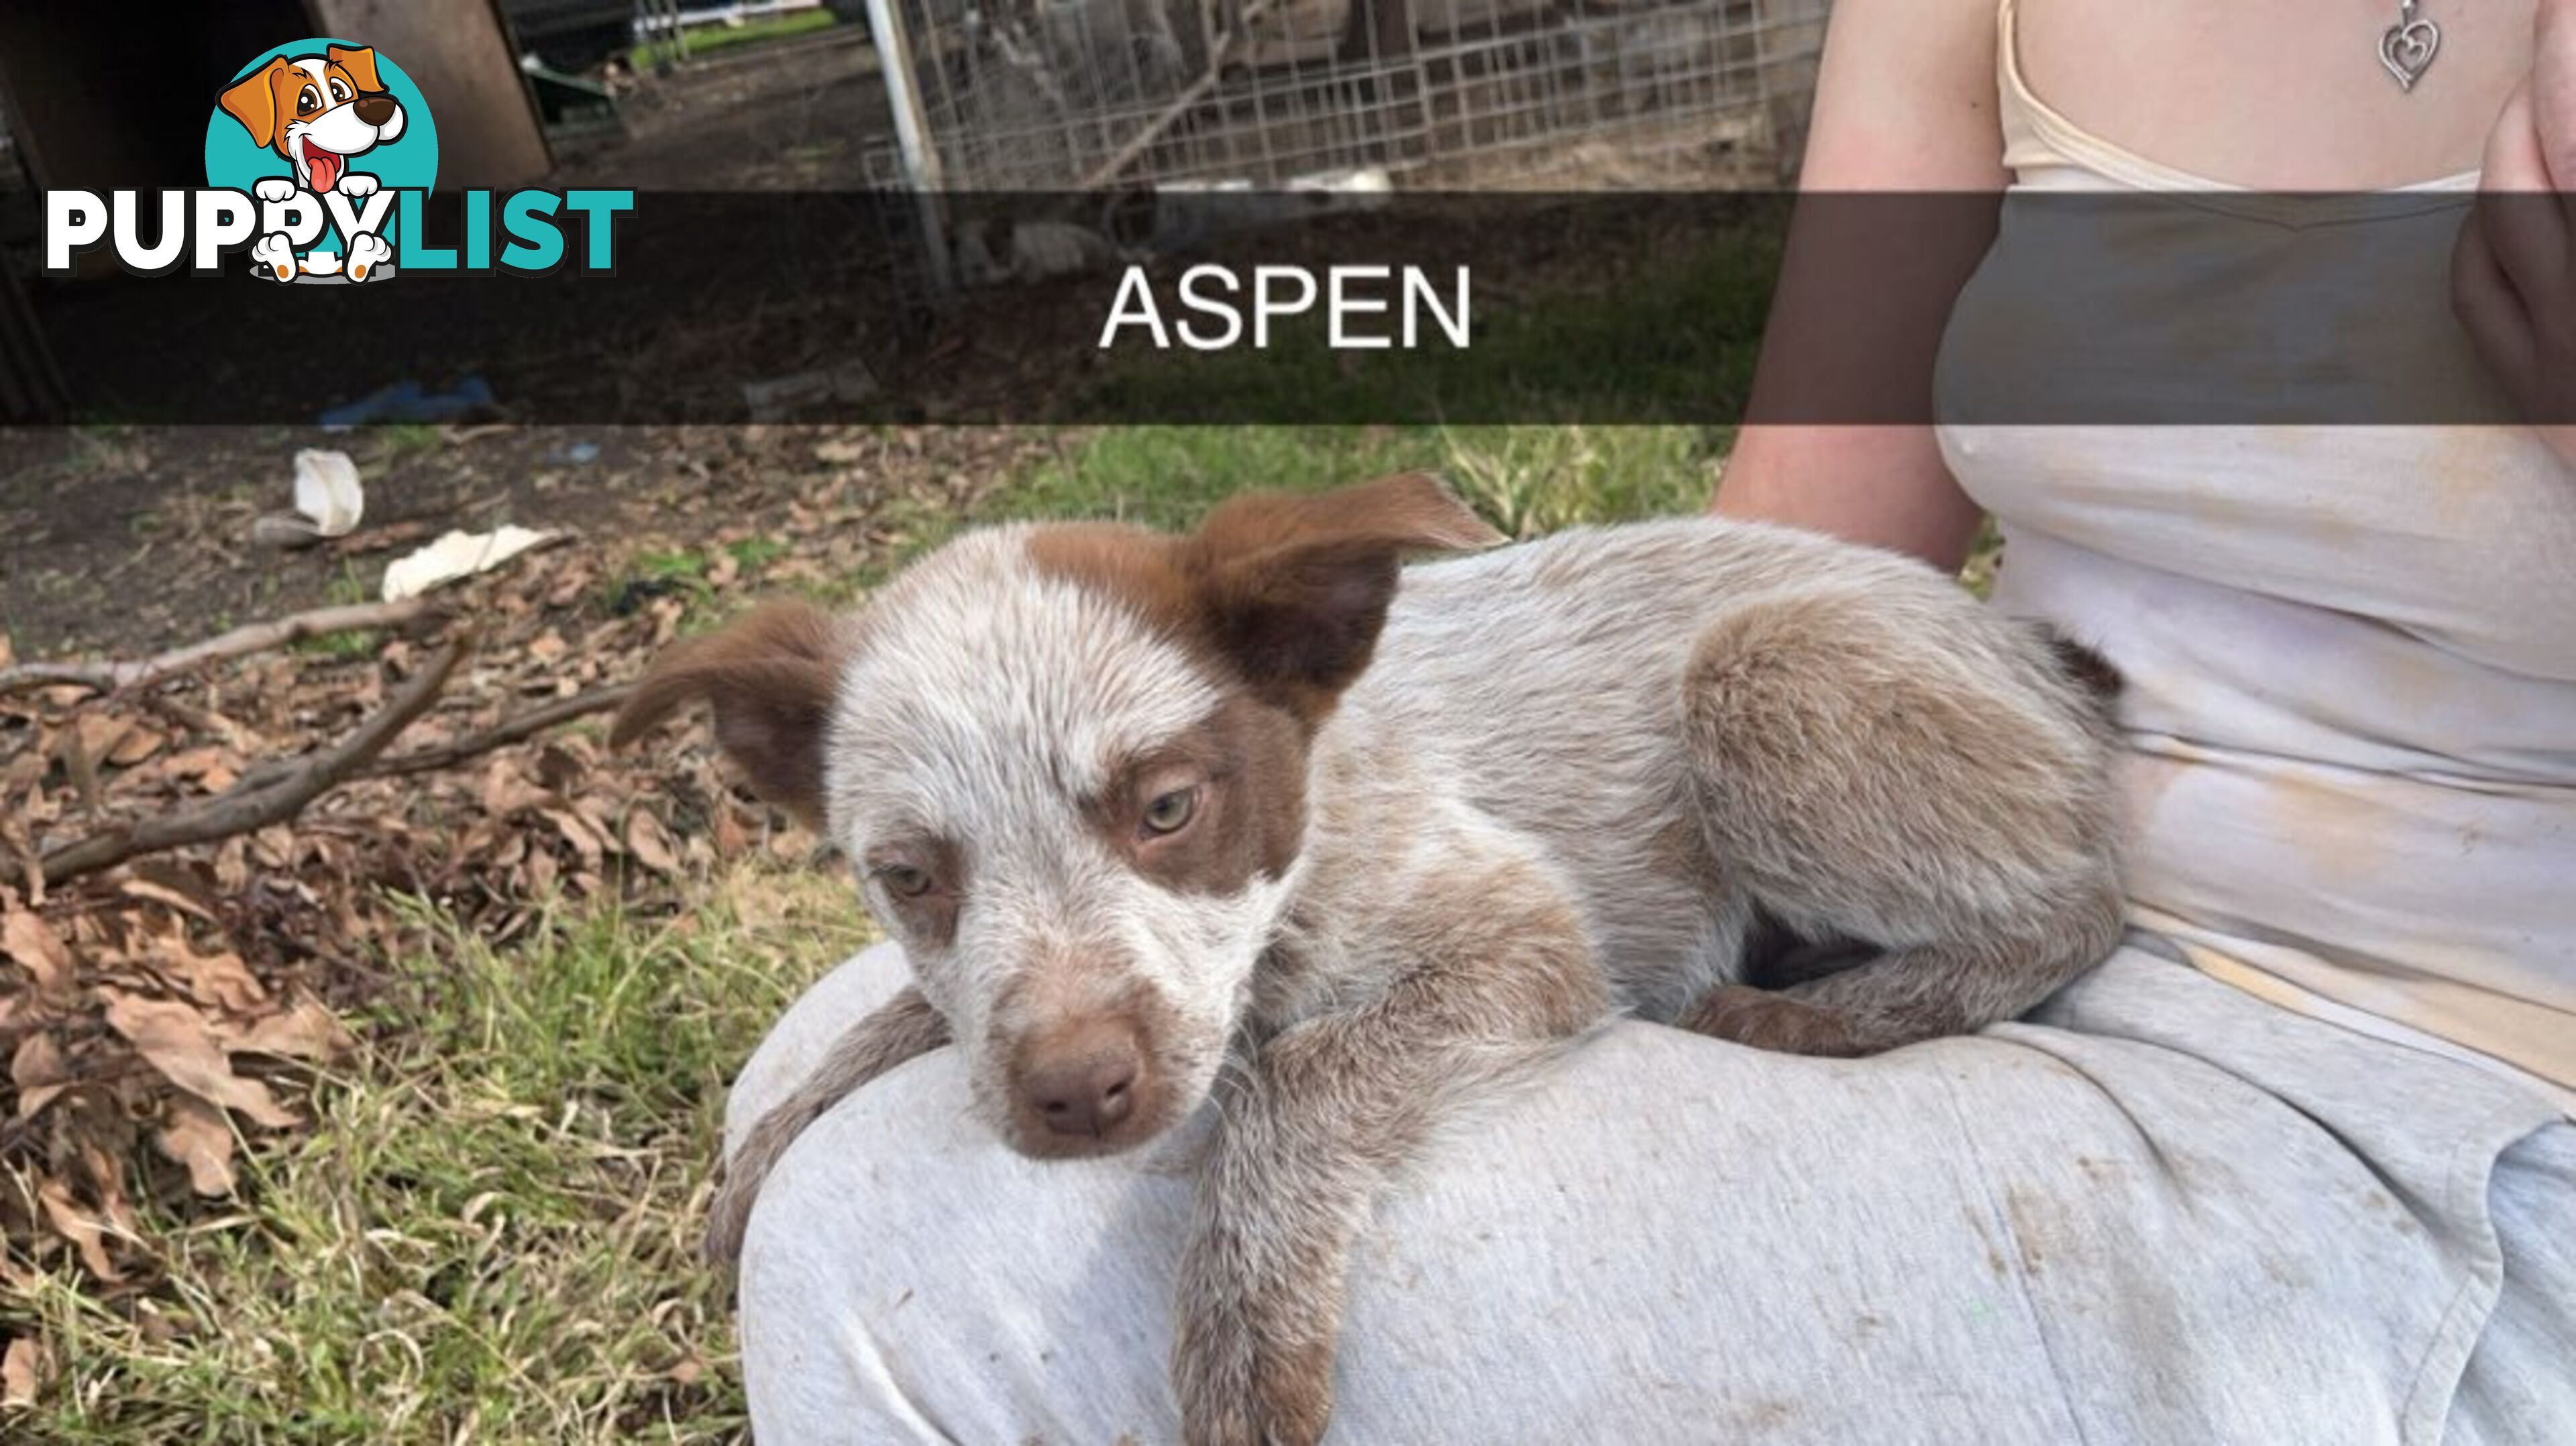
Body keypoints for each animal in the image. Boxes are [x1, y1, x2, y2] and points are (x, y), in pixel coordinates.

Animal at [612, 476, 2123, 1443]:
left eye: (1170, 808)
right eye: (911, 876)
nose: (1078, 1095)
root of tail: (2030, 646)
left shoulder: (1525, 939)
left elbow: (1299, 1078)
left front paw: (1241, 1345)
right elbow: (901, 1015)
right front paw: (763, 1154)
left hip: (1764, 671)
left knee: (2080, 904)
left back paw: (1829, 1009)